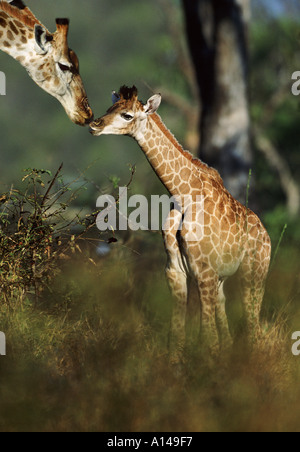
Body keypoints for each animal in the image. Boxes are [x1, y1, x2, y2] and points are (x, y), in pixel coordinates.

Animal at [89, 85, 272, 364]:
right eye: (111, 108)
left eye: (127, 115)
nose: (94, 124)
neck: (182, 194)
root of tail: (266, 235)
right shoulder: (175, 269)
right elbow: (176, 333)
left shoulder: (204, 271)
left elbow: (208, 337)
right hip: (225, 280)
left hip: (254, 272)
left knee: (254, 327)